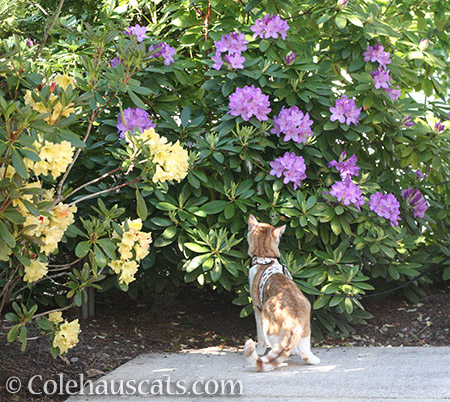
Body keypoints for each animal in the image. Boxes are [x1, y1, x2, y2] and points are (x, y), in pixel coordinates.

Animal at [243, 215, 320, 372]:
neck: (265, 259)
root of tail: (292, 319)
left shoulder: (257, 309)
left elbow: (260, 338)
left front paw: (260, 350)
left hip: (268, 325)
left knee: (274, 347)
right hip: (306, 330)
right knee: (304, 351)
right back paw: (311, 359)